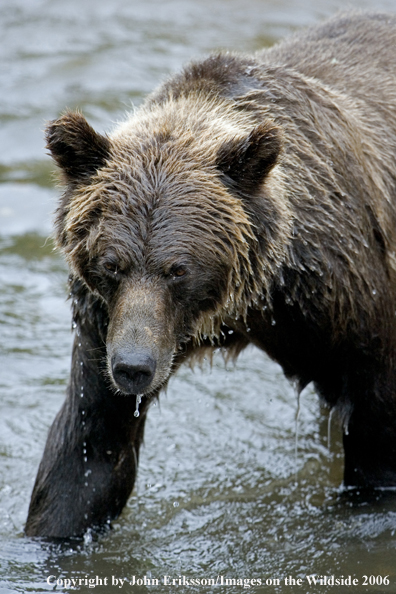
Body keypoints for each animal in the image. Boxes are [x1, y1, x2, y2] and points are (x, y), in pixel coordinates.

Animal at [26, 10, 396, 536]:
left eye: (178, 269)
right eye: (112, 264)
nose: (133, 367)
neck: (245, 305)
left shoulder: (344, 292)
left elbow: (377, 434)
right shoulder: (104, 324)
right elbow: (88, 450)